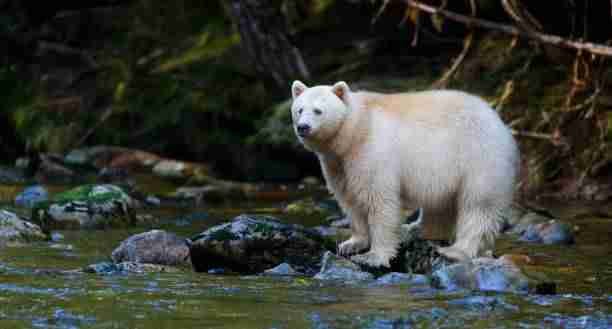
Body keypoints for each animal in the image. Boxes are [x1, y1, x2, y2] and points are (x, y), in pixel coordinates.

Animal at [290, 79, 520, 266]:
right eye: (299, 110)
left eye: (318, 110)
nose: (303, 127)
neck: (355, 130)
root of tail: (498, 120)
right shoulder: (338, 163)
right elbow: (350, 200)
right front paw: (351, 244)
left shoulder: (371, 152)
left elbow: (378, 201)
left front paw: (373, 256)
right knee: (441, 204)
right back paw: (418, 230)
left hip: (479, 155)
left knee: (479, 203)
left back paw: (455, 250)